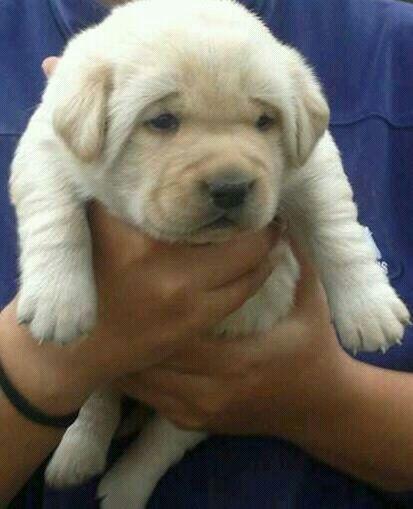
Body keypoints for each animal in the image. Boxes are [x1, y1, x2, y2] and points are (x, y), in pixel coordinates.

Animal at [9, 0, 408, 508]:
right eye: (162, 121)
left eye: (264, 122)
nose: (231, 187)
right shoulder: (46, 144)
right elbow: (53, 214)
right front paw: (58, 301)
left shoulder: (311, 162)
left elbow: (337, 228)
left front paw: (369, 309)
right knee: (99, 396)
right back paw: (77, 452)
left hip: (221, 393)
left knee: (162, 439)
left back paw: (123, 488)